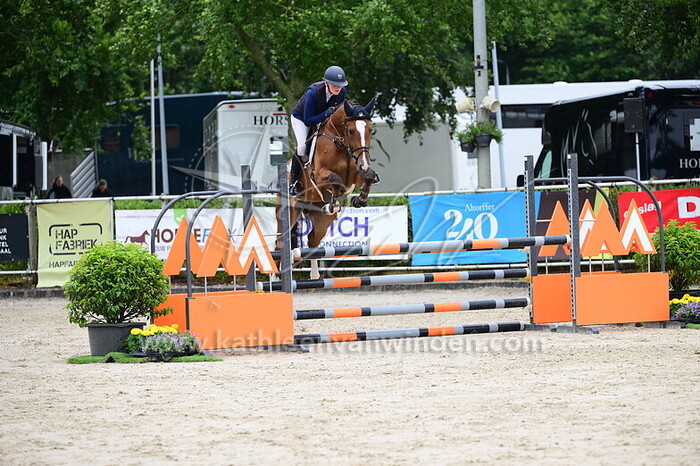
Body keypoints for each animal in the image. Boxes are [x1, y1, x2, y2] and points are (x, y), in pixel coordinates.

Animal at [276, 98, 378, 279]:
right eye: (351, 131)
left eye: (370, 129)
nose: (364, 164)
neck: (340, 143)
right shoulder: (319, 175)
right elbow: (335, 179)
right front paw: (334, 202)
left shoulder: (356, 174)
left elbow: (369, 176)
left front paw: (359, 200)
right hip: (287, 212)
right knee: (279, 242)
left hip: (321, 220)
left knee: (313, 241)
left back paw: (315, 276)